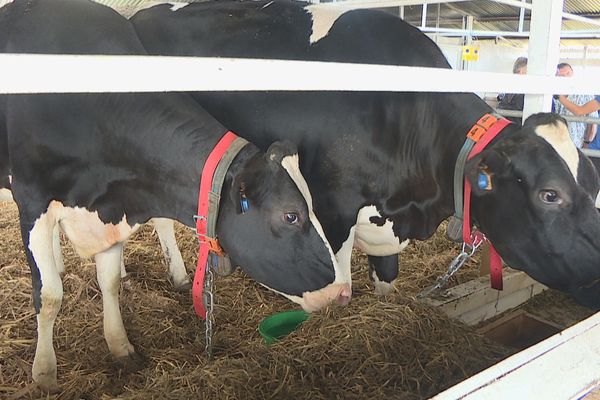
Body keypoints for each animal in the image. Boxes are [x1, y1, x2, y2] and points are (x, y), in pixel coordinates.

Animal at [1, 0, 352, 392]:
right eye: (291, 215)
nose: (343, 291)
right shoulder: (33, 201)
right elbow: (48, 295)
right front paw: (44, 373)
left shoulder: (115, 202)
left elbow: (109, 283)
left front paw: (120, 346)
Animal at [134, 0, 600, 306]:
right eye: (550, 195)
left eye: (593, 185)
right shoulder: (331, 207)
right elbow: (338, 281)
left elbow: (387, 278)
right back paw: (178, 274)